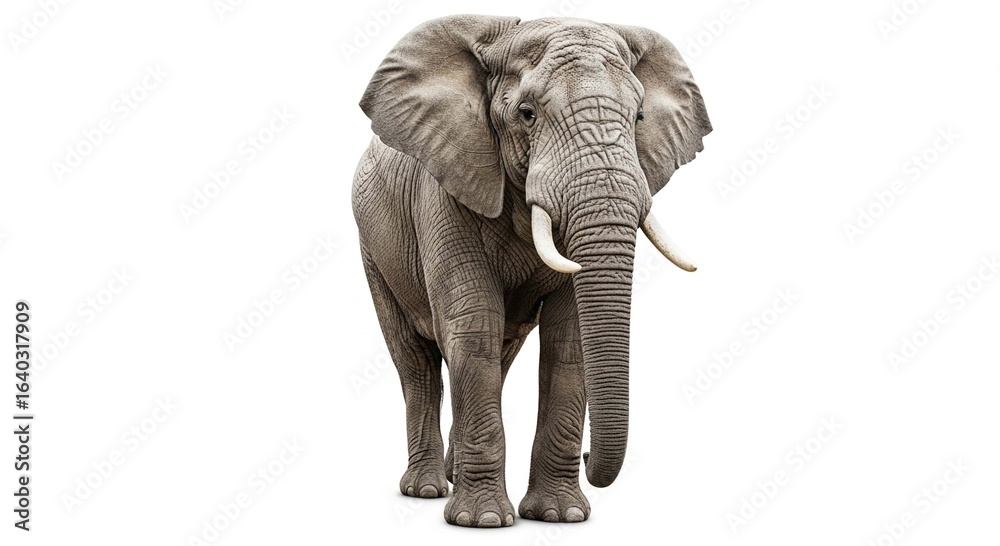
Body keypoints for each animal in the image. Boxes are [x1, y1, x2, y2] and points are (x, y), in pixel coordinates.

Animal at [352, 14, 711, 527]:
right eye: (526, 114)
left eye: (639, 117)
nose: (589, 457)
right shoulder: (444, 190)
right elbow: (472, 324)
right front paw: (482, 522)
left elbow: (568, 339)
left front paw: (561, 516)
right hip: (373, 248)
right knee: (416, 362)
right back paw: (426, 490)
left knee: (497, 357)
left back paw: (453, 477)